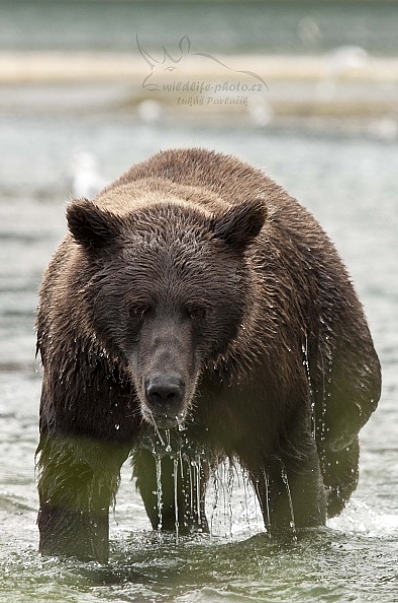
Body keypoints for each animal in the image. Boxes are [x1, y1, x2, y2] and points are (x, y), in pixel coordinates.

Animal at [35, 149, 380, 564]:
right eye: (137, 306)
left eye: (198, 308)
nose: (164, 389)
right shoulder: (90, 375)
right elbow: (76, 476)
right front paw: (74, 552)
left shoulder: (259, 371)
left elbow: (286, 466)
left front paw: (300, 526)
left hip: (332, 333)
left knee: (342, 420)